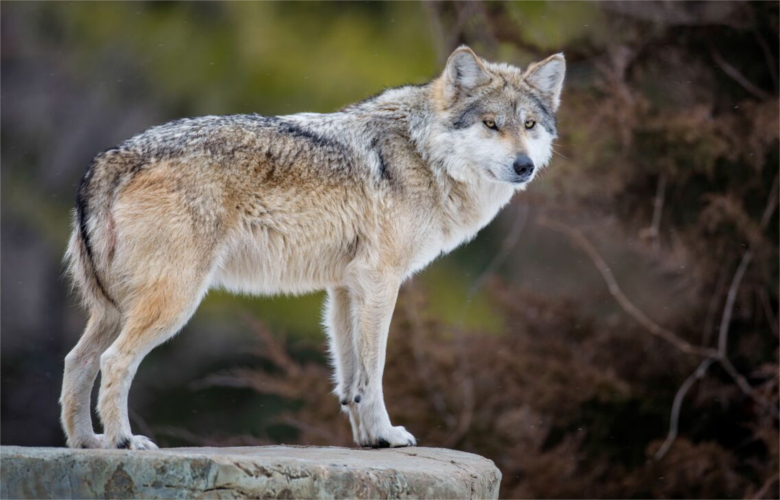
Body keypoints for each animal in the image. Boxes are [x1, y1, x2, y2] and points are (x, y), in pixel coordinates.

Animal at [60, 46, 565, 449]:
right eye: (491, 124)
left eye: (529, 125)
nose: (524, 166)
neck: (424, 153)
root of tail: (110, 157)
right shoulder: (380, 282)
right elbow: (374, 370)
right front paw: (388, 434)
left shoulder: (345, 288)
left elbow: (350, 379)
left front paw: (368, 440)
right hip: (173, 303)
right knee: (113, 361)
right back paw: (123, 441)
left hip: (114, 310)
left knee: (77, 361)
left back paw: (88, 443)